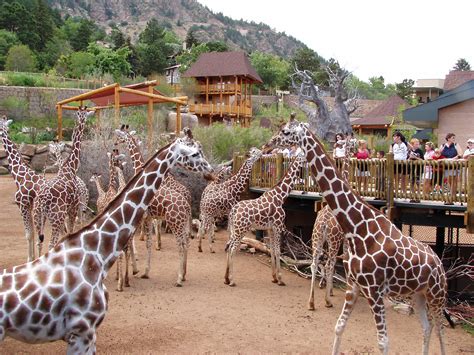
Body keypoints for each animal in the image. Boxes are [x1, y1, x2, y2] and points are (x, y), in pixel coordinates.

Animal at [0, 117, 46, 262]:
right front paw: (32, 258)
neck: (19, 173)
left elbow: (29, 234)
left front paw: (30, 259)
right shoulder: (28, 206)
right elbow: (31, 233)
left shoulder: (22, 205)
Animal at [0, 136, 213, 354]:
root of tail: (186, 201)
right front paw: (131, 275)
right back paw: (179, 275)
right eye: (195, 153)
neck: (94, 250)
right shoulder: (82, 331)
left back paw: (180, 274)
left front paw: (131, 275)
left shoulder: (85, 332)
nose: (211, 172)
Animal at [33, 108, 92, 258]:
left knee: (39, 242)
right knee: (50, 243)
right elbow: (70, 233)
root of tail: (43, 202)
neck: (70, 167)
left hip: (38, 218)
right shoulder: (73, 207)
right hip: (56, 217)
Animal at [224, 154, 306, 288]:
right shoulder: (278, 226)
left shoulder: (270, 228)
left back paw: (226, 278)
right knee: (232, 250)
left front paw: (274, 278)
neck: (281, 196)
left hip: (234, 230)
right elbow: (278, 251)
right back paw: (232, 280)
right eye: (305, 157)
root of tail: (233, 211)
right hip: (240, 230)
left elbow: (271, 250)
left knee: (229, 248)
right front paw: (281, 279)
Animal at [264, 116, 454, 354]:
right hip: (418, 294)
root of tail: (440, 263)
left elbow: (383, 342)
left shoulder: (374, 289)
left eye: (287, 132)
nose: (268, 145)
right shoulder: (355, 285)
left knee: (440, 331)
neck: (357, 226)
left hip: (437, 294)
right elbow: (338, 327)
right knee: (427, 328)